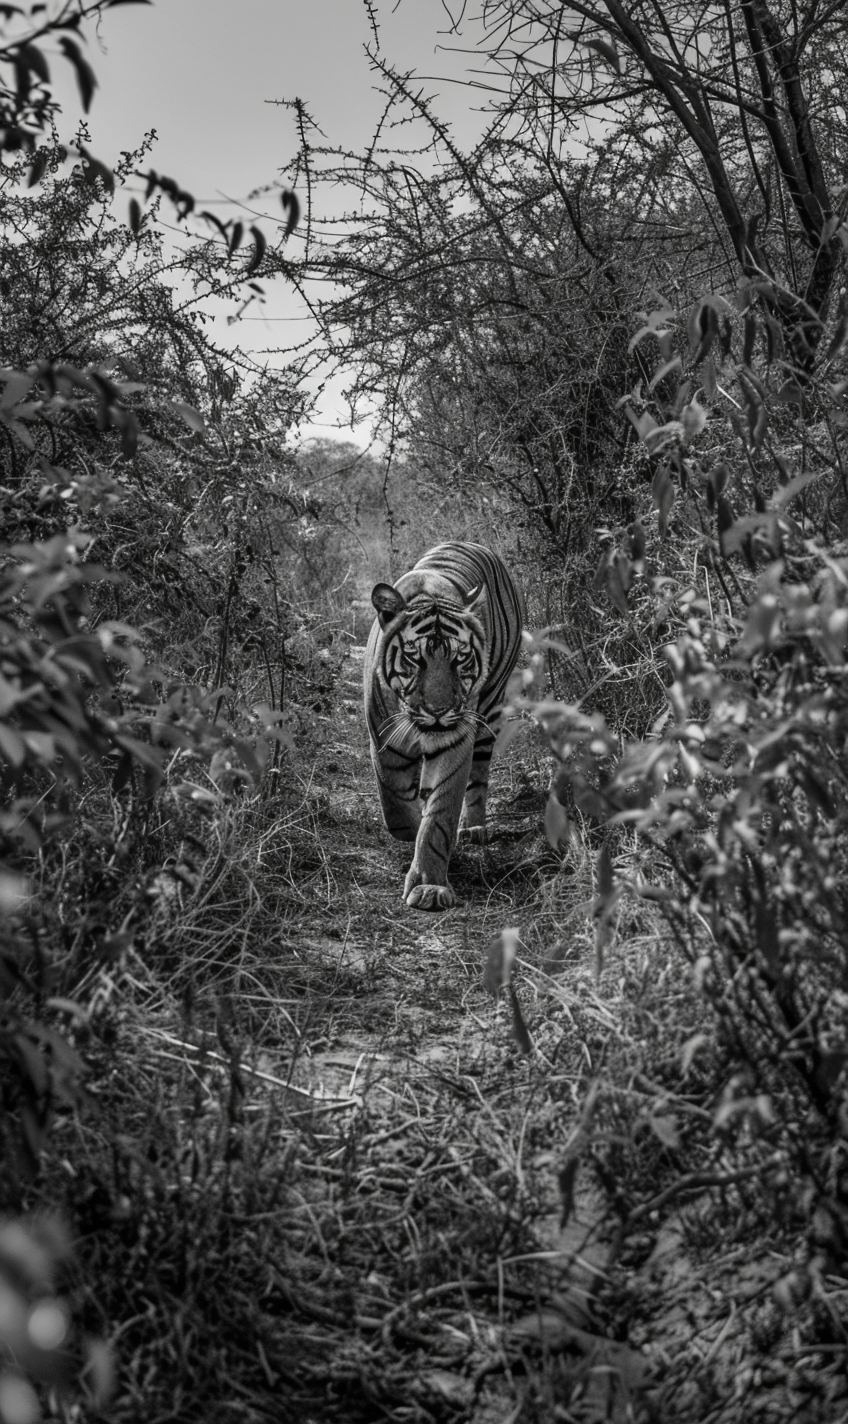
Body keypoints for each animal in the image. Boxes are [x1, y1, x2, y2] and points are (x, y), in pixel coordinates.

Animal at [362, 543, 523, 911]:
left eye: (459, 658)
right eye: (414, 658)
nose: (438, 711)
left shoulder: (455, 740)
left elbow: (438, 817)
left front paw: (429, 886)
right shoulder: (383, 741)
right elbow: (395, 807)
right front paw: (411, 826)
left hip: (489, 713)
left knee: (478, 776)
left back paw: (473, 829)